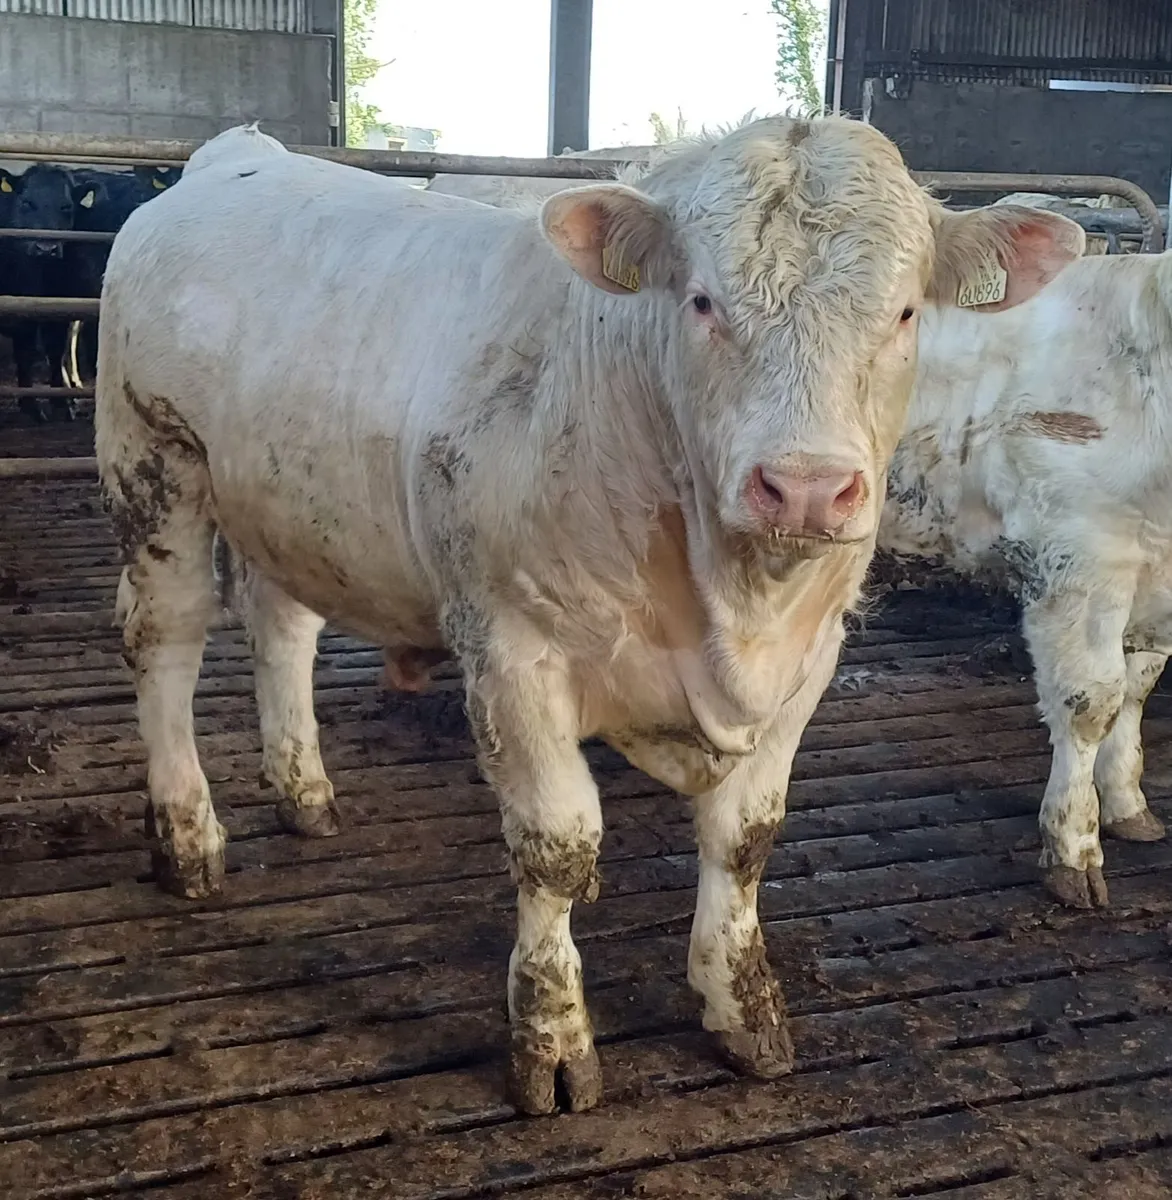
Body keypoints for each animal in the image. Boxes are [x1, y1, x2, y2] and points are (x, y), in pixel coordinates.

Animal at [96, 118, 1081, 1114]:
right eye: (701, 302)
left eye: (907, 313)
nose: (804, 487)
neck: (731, 607)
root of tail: (235, 154)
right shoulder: (511, 654)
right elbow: (558, 845)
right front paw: (553, 1037)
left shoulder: (810, 664)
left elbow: (745, 839)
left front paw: (743, 1009)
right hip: (153, 461)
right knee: (166, 635)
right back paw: (186, 835)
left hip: (288, 505)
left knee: (282, 626)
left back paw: (303, 790)